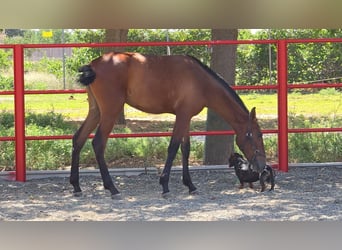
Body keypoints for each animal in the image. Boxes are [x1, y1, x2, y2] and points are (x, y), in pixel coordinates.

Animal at [70, 51, 268, 198]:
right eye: (258, 135)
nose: (262, 166)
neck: (200, 81)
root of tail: (93, 65)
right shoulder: (182, 116)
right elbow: (173, 148)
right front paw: (164, 185)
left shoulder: (186, 117)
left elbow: (185, 149)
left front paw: (190, 185)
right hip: (110, 112)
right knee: (98, 143)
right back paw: (112, 188)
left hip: (95, 111)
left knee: (78, 139)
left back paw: (76, 186)